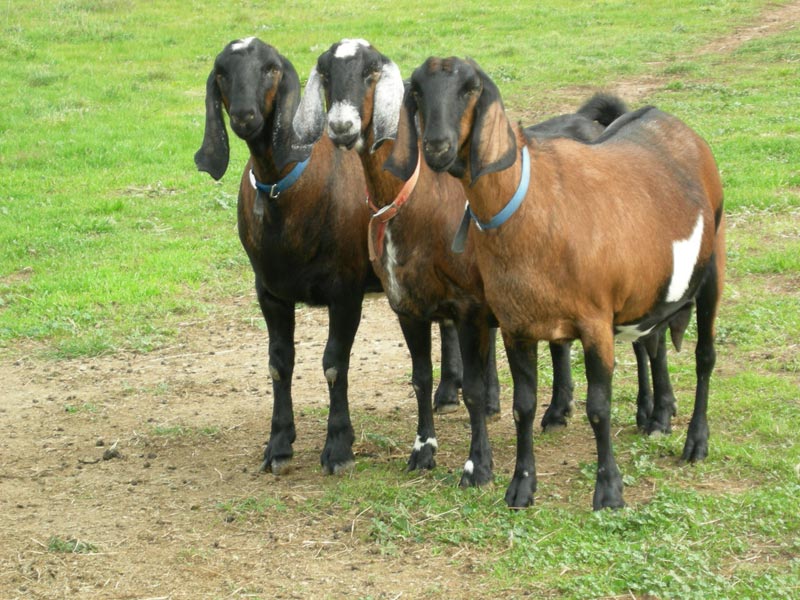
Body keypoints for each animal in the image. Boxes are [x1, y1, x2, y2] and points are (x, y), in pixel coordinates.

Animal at [192, 38, 466, 476]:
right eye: (221, 72)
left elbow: (334, 363)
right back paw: (448, 391)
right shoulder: (270, 292)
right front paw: (279, 445)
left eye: (270, 68)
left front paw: (338, 446)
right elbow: (279, 363)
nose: (244, 115)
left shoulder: (345, 290)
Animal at [392, 56, 725, 510]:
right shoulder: (516, 327)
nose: (437, 147)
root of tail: (669, 120)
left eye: (470, 87)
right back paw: (657, 417)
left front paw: (609, 491)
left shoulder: (596, 323)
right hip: (648, 289)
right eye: (417, 91)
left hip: (712, 269)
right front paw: (521, 486)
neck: (534, 207)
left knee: (705, 357)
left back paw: (696, 441)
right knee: (653, 343)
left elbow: (598, 407)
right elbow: (523, 406)